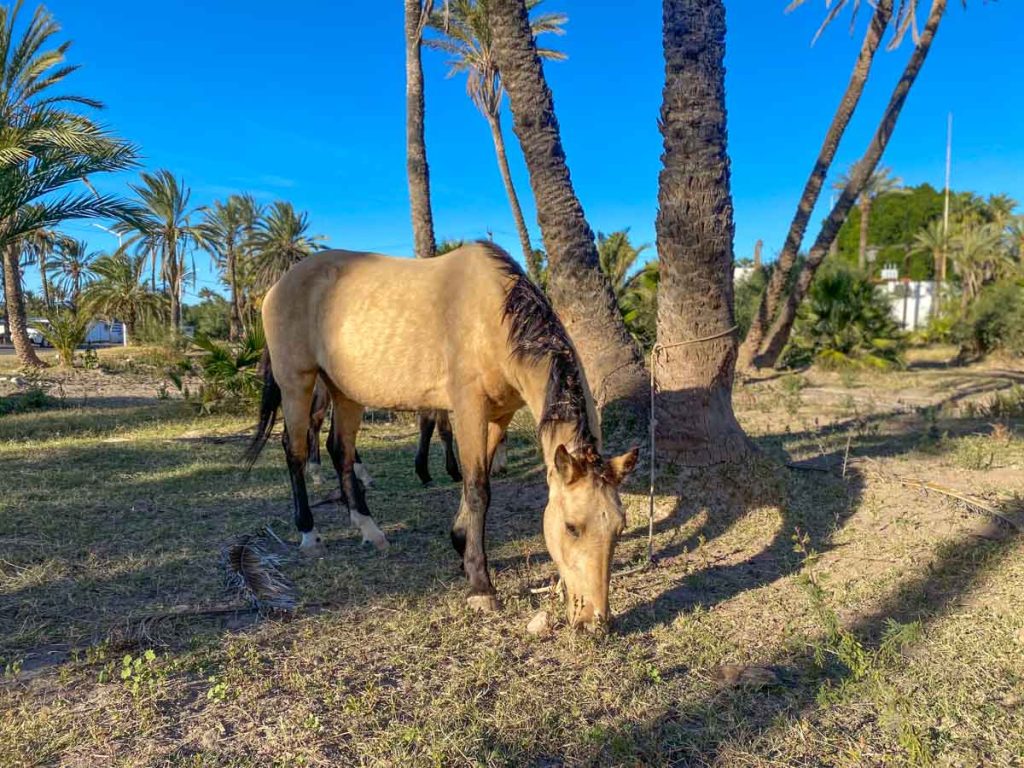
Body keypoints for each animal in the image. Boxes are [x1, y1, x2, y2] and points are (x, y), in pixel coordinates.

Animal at [245, 244, 630, 630]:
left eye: (619, 528)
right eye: (571, 527)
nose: (595, 620)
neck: (493, 315)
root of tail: (279, 285)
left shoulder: (498, 416)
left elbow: (476, 482)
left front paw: (461, 545)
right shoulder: (469, 409)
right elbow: (477, 490)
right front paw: (481, 586)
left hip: (344, 391)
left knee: (341, 451)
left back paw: (370, 529)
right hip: (297, 385)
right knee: (294, 451)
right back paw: (309, 534)